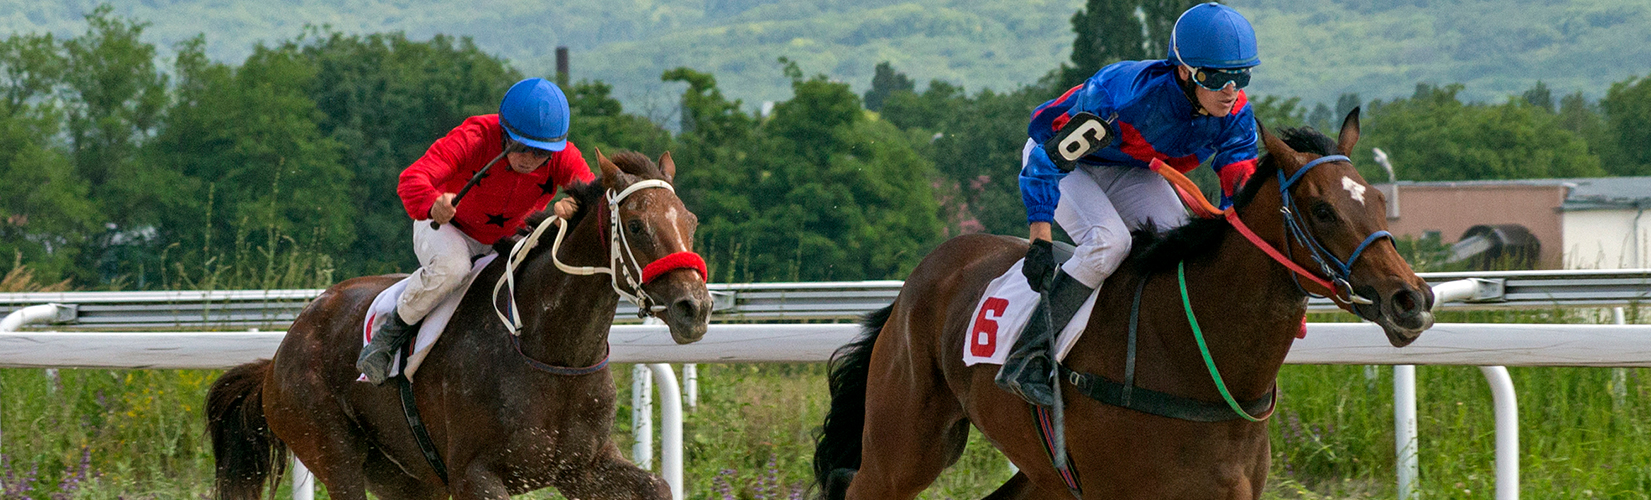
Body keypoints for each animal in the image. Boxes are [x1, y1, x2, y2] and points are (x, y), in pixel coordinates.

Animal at [207, 150, 713, 500]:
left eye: (690, 220)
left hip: (407, 478)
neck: (551, 353)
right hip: (331, 448)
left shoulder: (581, 467)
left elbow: (658, 486)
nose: (695, 308)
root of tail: (278, 357)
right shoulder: (476, 475)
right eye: (636, 225)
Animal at [812, 111, 1435, 499]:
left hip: (1044, 477)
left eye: (1376, 199)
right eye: (1323, 210)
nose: (1412, 299)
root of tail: (920, 278)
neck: (1194, 357)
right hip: (904, 449)